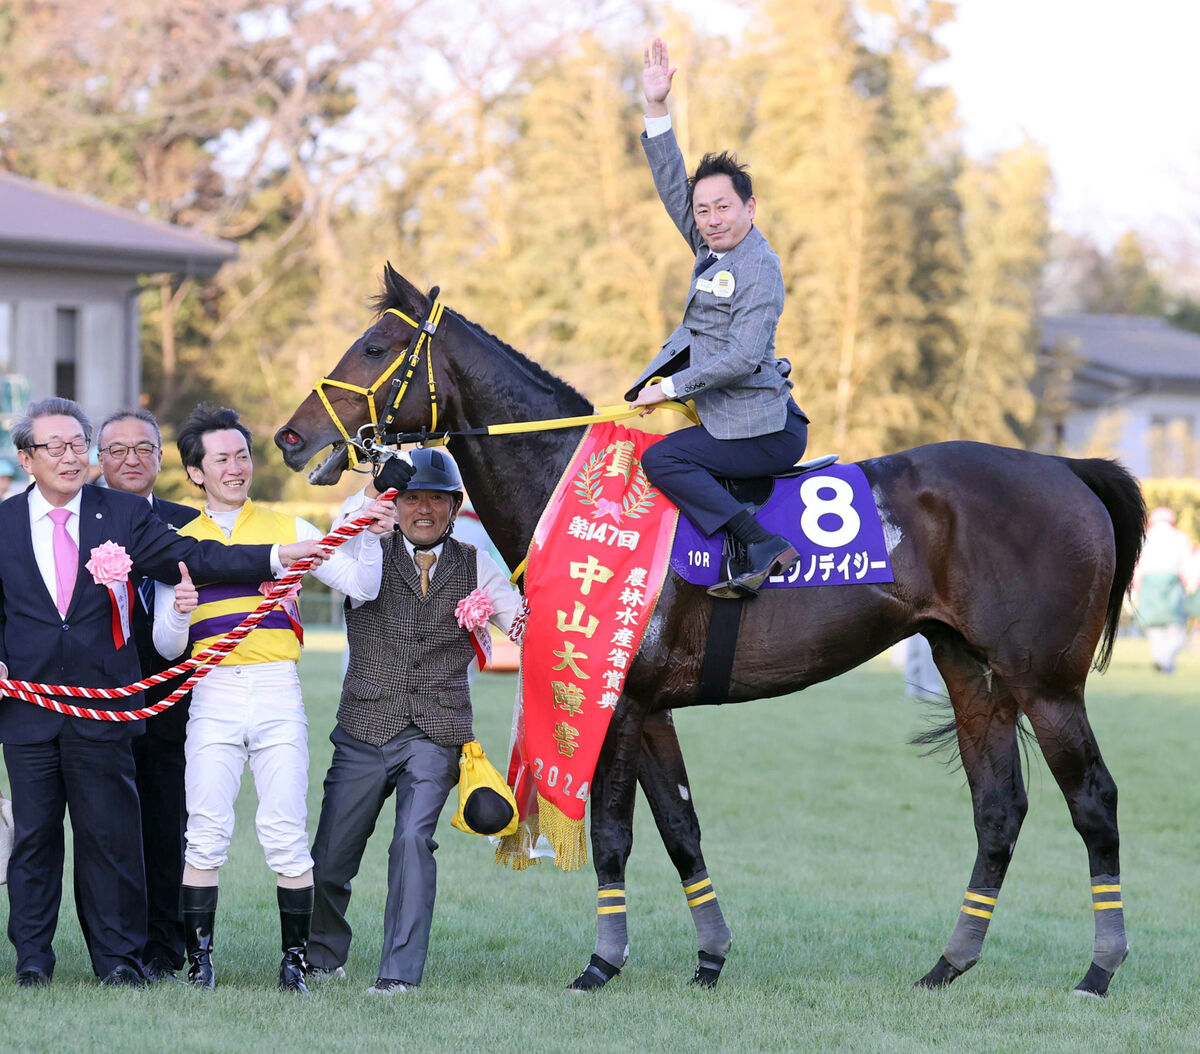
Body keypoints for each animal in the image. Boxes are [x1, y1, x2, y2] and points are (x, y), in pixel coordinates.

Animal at [274, 264, 1142, 998]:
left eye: (376, 346)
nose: (289, 436)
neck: (572, 482)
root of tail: (1066, 469)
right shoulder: (651, 708)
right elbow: (682, 828)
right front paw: (710, 956)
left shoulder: (620, 705)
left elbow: (615, 834)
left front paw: (602, 962)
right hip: (973, 672)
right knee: (998, 809)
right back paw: (949, 963)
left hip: (1045, 683)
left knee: (1095, 800)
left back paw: (1099, 969)